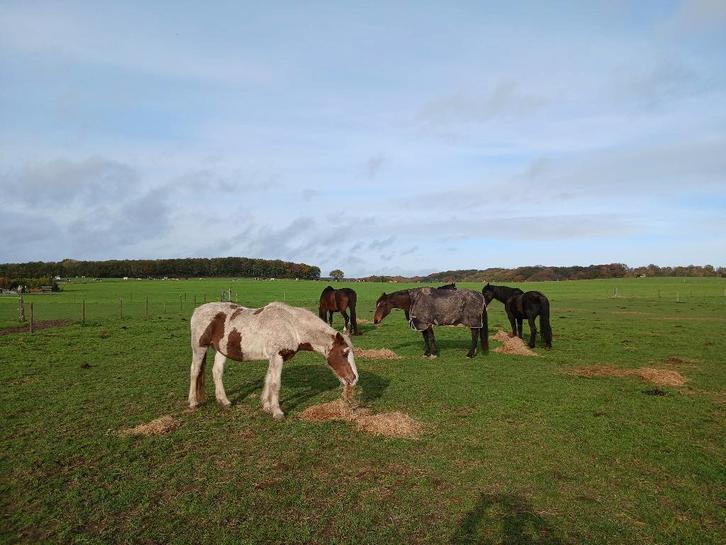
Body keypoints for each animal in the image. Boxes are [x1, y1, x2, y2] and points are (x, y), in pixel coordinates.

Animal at [189, 301, 358, 420]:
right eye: (344, 353)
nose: (354, 379)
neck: (292, 326)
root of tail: (197, 310)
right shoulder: (277, 357)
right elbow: (276, 384)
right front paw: (277, 412)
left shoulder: (274, 358)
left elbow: (268, 380)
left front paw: (266, 405)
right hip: (199, 347)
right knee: (195, 372)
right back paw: (193, 403)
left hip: (221, 350)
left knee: (217, 372)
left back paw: (224, 401)